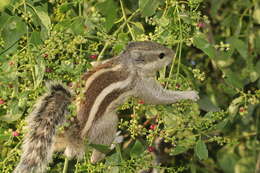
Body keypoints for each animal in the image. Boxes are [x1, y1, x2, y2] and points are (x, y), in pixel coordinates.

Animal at [14, 41, 199, 173]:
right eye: (161, 55)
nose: (173, 53)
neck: (129, 63)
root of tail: (73, 136)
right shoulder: (141, 85)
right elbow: (158, 97)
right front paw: (189, 94)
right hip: (108, 122)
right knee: (94, 157)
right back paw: (113, 143)